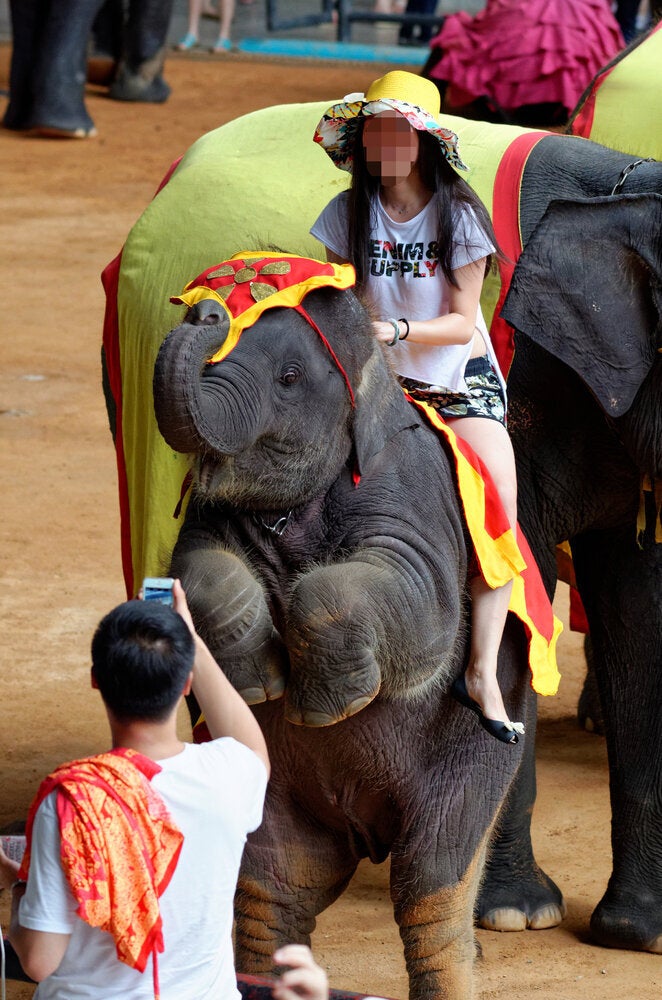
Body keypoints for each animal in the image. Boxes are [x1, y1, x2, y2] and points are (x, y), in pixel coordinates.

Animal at [150, 252, 560, 1000]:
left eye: (289, 377)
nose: (207, 313)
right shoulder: (206, 521)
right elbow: (196, 566)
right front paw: (256, 687)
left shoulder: (417, 503)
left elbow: (419, 600)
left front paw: (323, 707)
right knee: (276, 880)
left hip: (474, 759)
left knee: (430, 886)